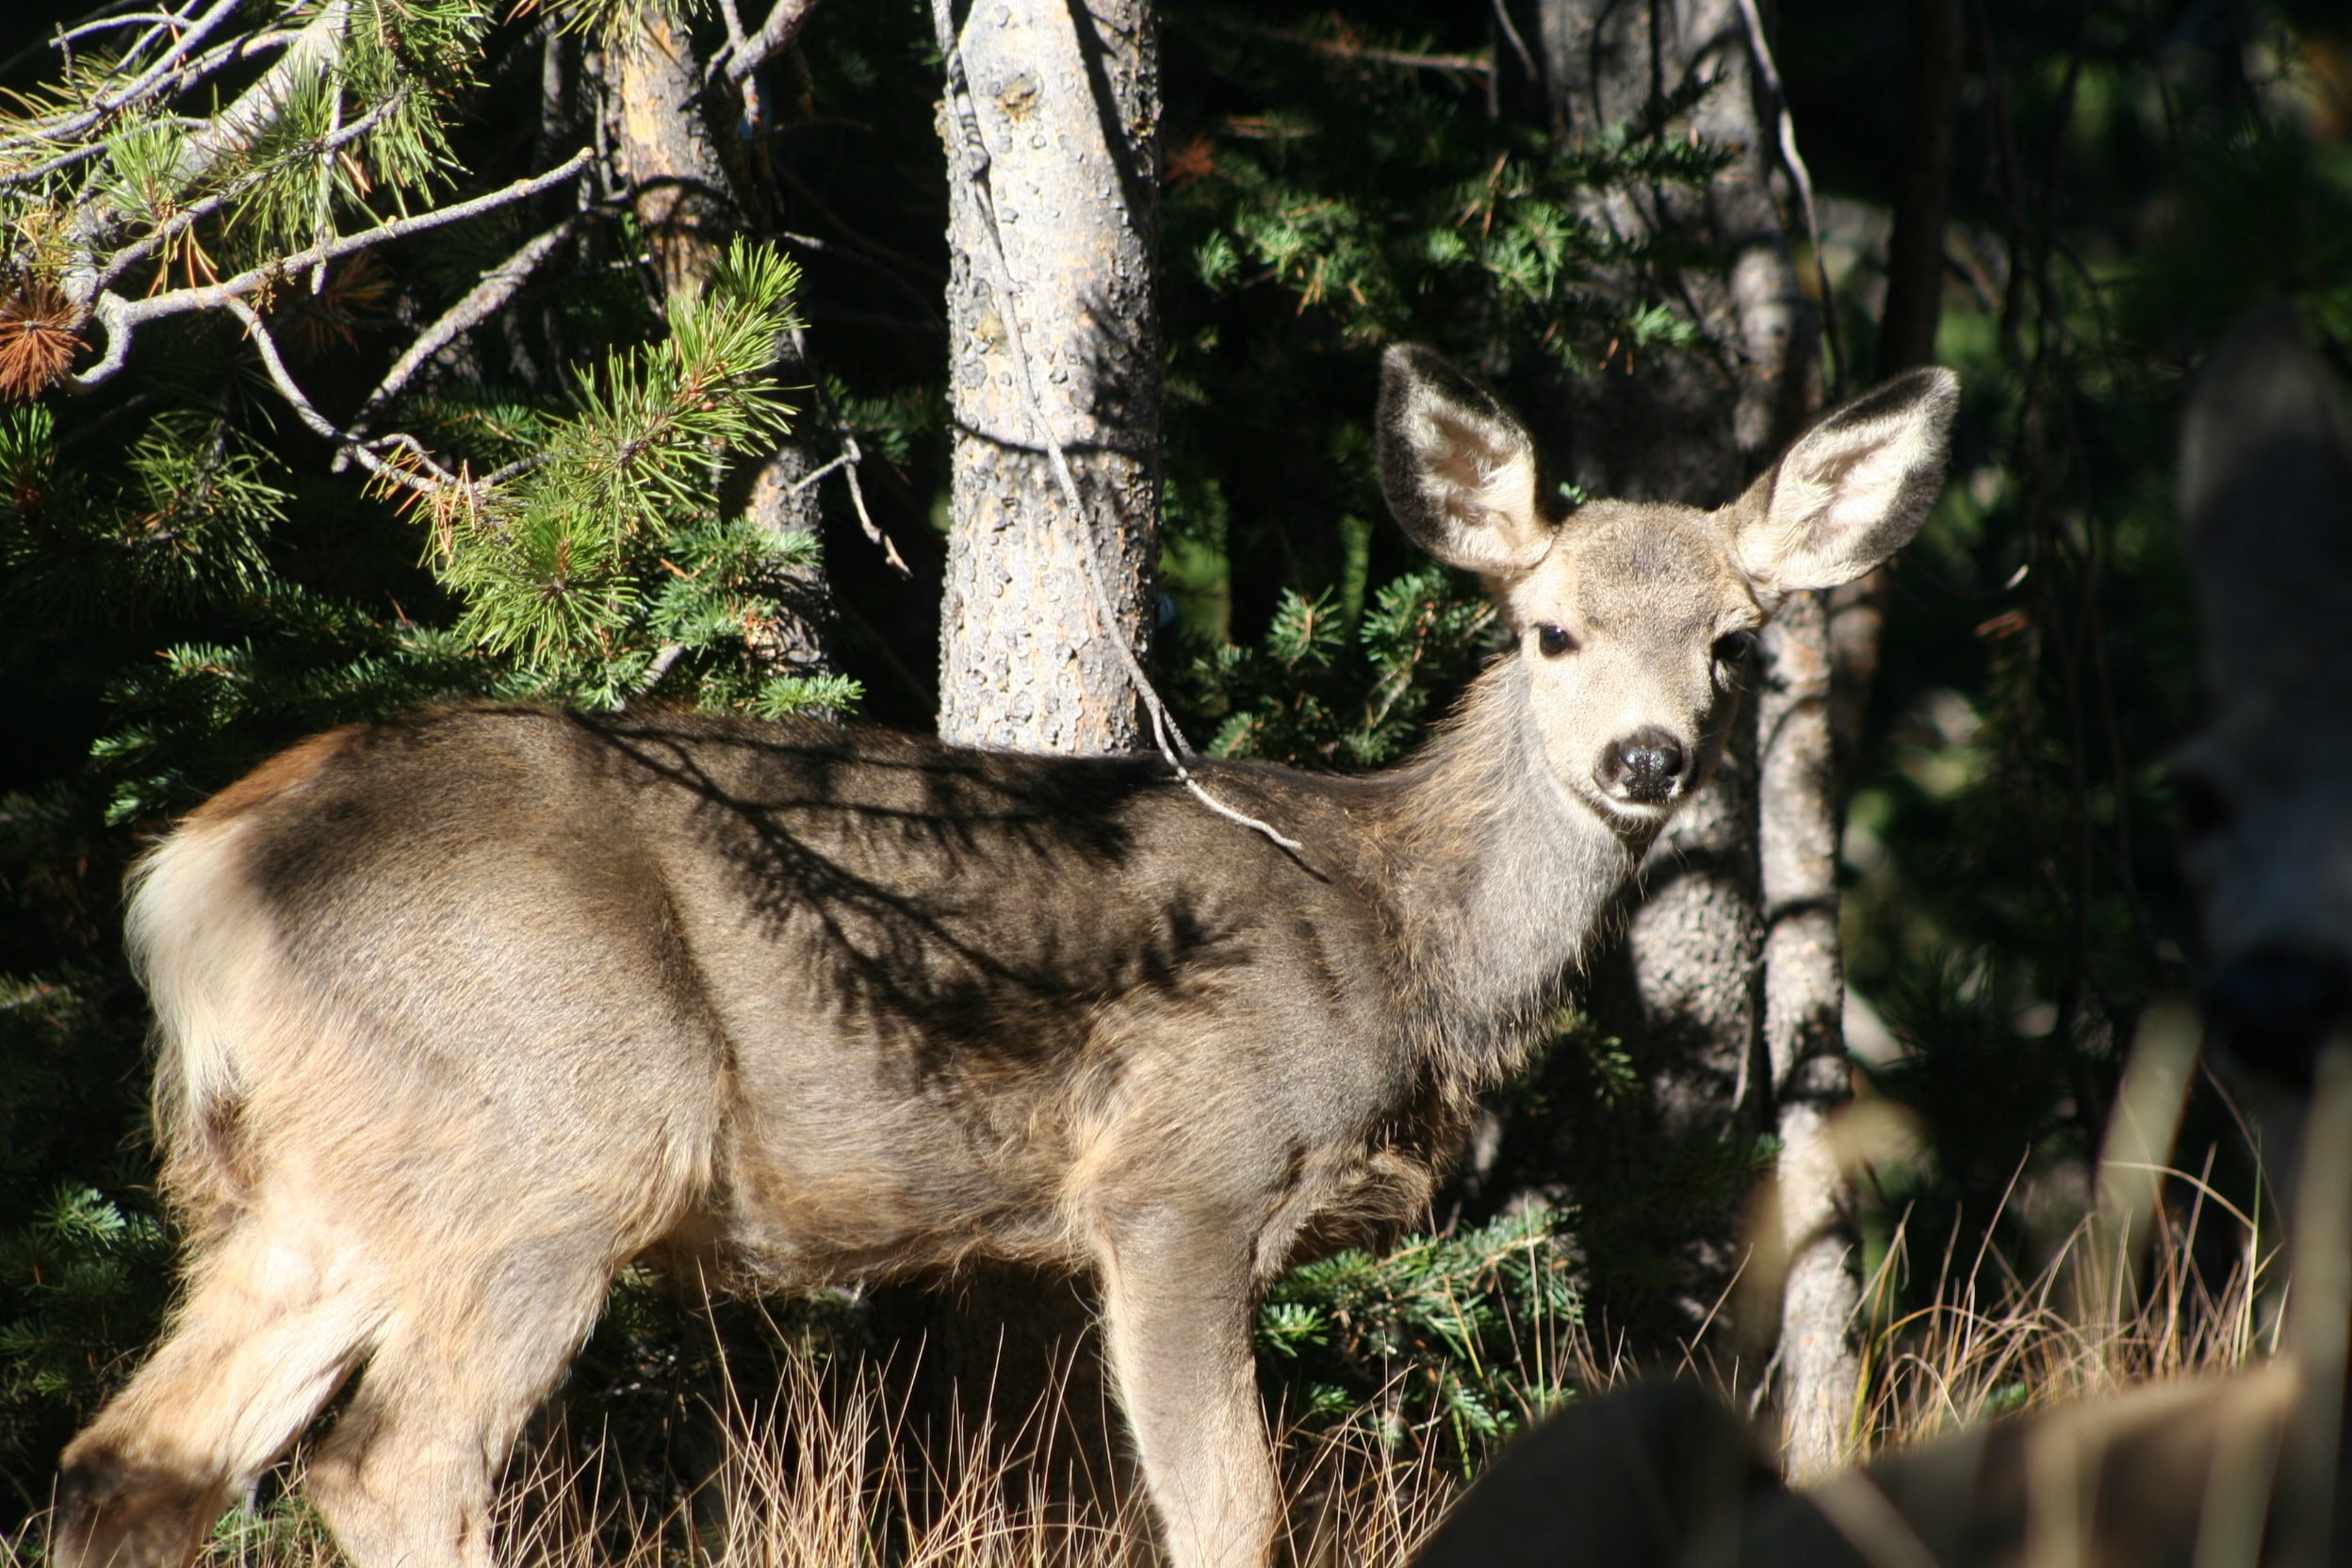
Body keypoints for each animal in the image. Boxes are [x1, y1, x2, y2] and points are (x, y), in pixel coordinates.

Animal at [50, 345, 1960, 1568]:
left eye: (1734, 642)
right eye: (1546, 627)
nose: (1646, 758)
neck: (1392, 932)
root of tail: (198, 875)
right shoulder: (1177, 1175)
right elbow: (1225, 1512)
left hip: (320, 1180)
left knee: (125, 1462)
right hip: (551, 1138)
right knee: (385, 1471)